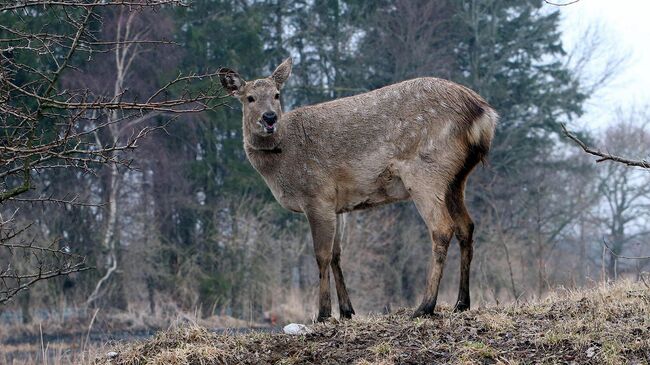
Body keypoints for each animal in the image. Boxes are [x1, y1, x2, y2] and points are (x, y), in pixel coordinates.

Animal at [218, 57, 496, 322]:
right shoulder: (337, 204)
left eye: (277, 94)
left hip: (426, 171)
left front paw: (323, 313)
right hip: (457, 179)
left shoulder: (316, 195)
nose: (269, 118)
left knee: (442, 228)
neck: (281, 162)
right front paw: (346, 311)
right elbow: (337, 254)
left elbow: (321, 255)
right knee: (466, 226)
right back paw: (461, 303)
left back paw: (425, 306)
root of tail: (483, 114)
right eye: (250, 98)